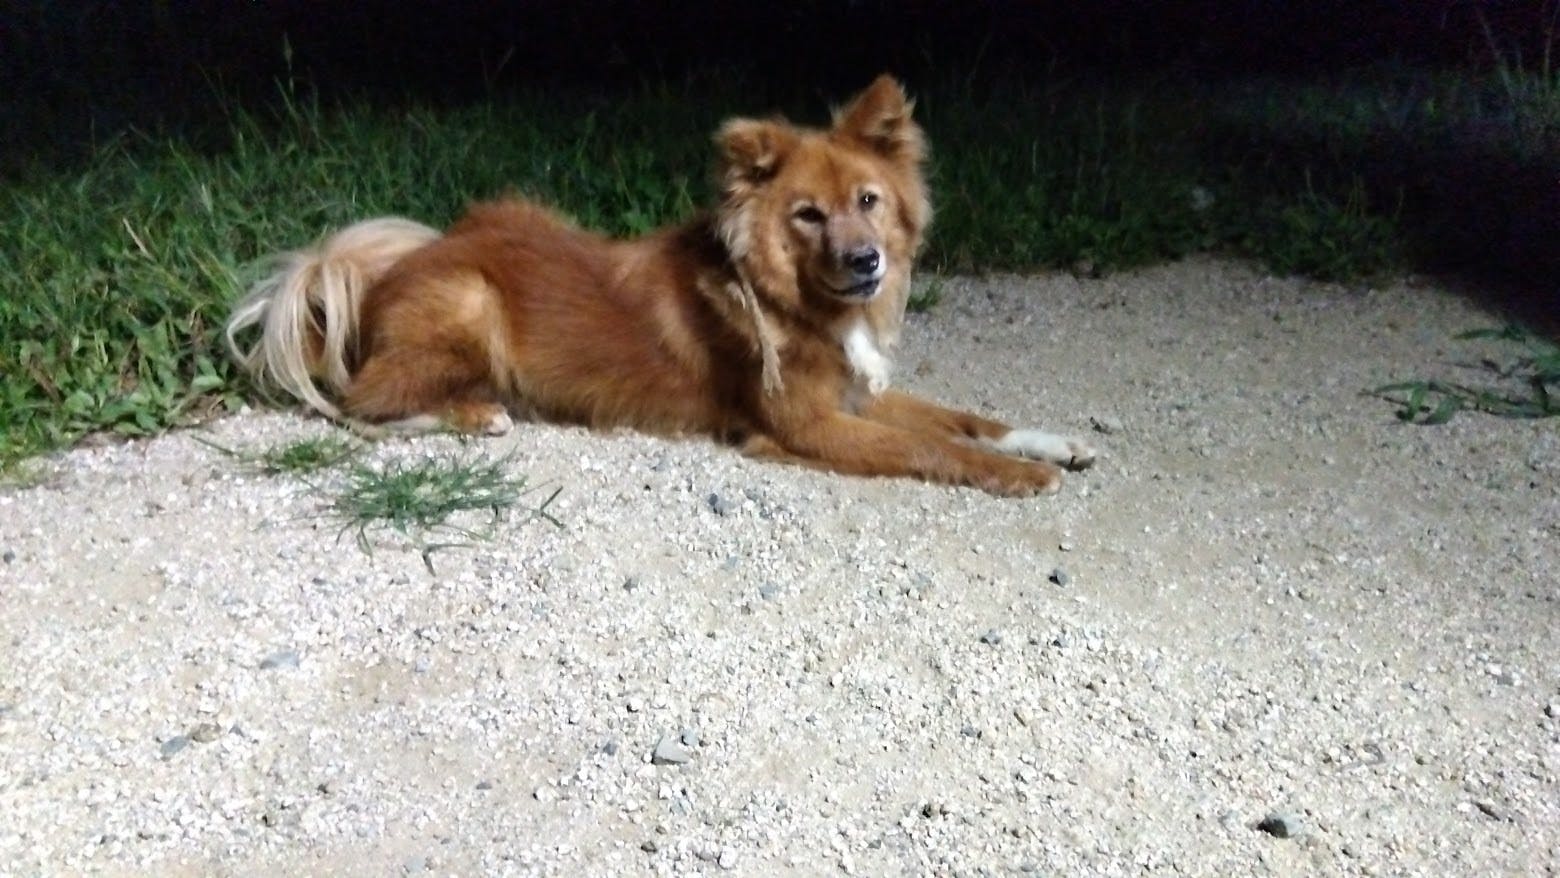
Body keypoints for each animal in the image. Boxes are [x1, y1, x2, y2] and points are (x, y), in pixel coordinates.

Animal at [225, 76, 1095, 496]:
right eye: (808, 215)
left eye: (869, 201)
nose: (866, 262)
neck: (786, 298)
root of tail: (380, 269)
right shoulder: (808, 424)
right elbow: (930, 446)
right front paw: (1022, 475)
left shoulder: (856, 392)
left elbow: (966, 419)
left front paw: (1052, 441)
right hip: (469, 303)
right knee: (359, 405)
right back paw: (477, 414)